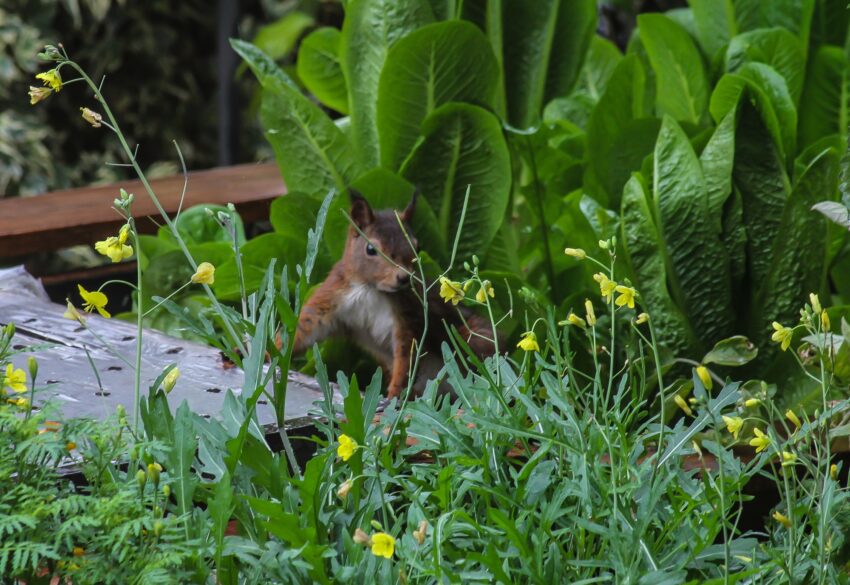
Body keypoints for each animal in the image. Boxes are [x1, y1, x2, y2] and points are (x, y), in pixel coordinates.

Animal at [290, 189, 494, 400]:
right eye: (370, 249)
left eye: (418, 247)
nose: (403, 278)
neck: (370, 289)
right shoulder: (333, 296)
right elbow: (307, 327)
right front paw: (279, 350)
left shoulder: (407, 316)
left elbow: (405, 359)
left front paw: (393, 397)